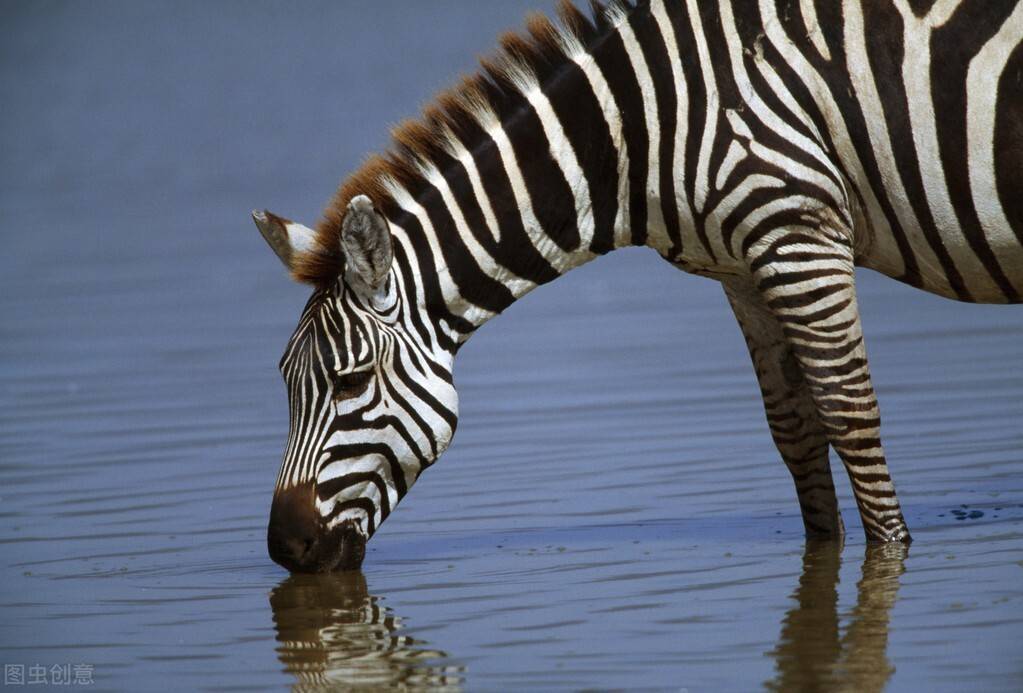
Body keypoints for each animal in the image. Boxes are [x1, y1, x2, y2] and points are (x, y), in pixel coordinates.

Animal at [251, 1, 1018, 573]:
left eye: (350, 382)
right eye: (284, 382)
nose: (284, 549)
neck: (637, 132)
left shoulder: (797, 230)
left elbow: (847, 413)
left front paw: (890, 552)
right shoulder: (744, 269)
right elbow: (794, 429)